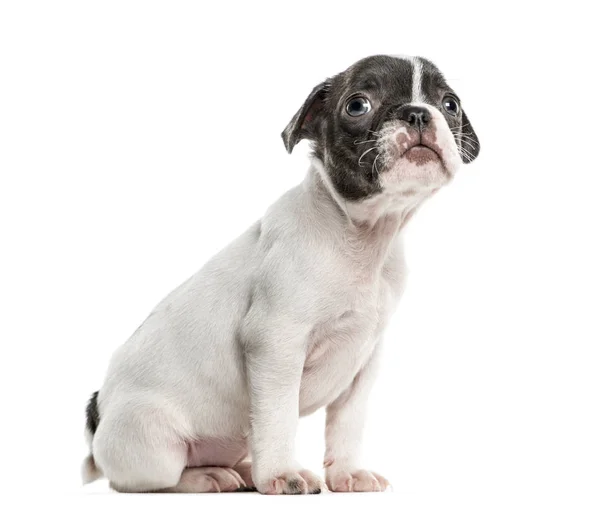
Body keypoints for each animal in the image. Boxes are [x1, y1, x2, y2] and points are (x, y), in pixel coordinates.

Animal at [82, 54, 480, 494]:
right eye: (357, 105)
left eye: (450, 104)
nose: (418, 113)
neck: (362, 236)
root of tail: (98, 416)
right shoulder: (276, 343)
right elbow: (278, 416)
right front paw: (281, 474)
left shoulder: (364, 360)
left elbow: (348, 422)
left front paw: (347, 473)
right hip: (153, 441)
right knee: (149, 480)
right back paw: (207, 477)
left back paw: (240, 472)